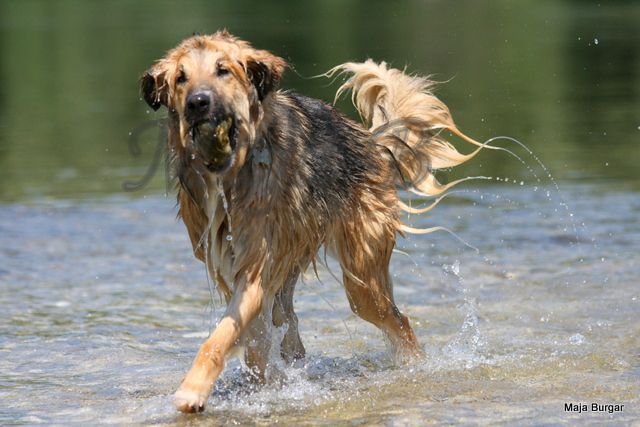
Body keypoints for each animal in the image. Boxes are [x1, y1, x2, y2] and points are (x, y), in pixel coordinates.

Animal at [140, 30, 490, 414]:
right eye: (181, 78)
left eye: (223, 70)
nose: (198, 103)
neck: (230, 176)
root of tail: (373, 143)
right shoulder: (232, 271)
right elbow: (253, 341)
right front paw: (258, 388)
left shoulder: (254, 271)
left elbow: (219, 338)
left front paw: (193, 391)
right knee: (288, 325)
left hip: (363, 282)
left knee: (400, 322)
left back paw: (415, 368)